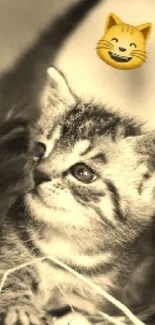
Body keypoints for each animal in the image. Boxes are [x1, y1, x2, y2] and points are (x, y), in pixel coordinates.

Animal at [0, 66, 155, 324]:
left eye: (82, 172)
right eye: (40, 150)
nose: (39, 174)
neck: (64, 246)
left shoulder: (96, 293)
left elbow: (76, 312)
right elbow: (13, 280)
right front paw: (20, 308)